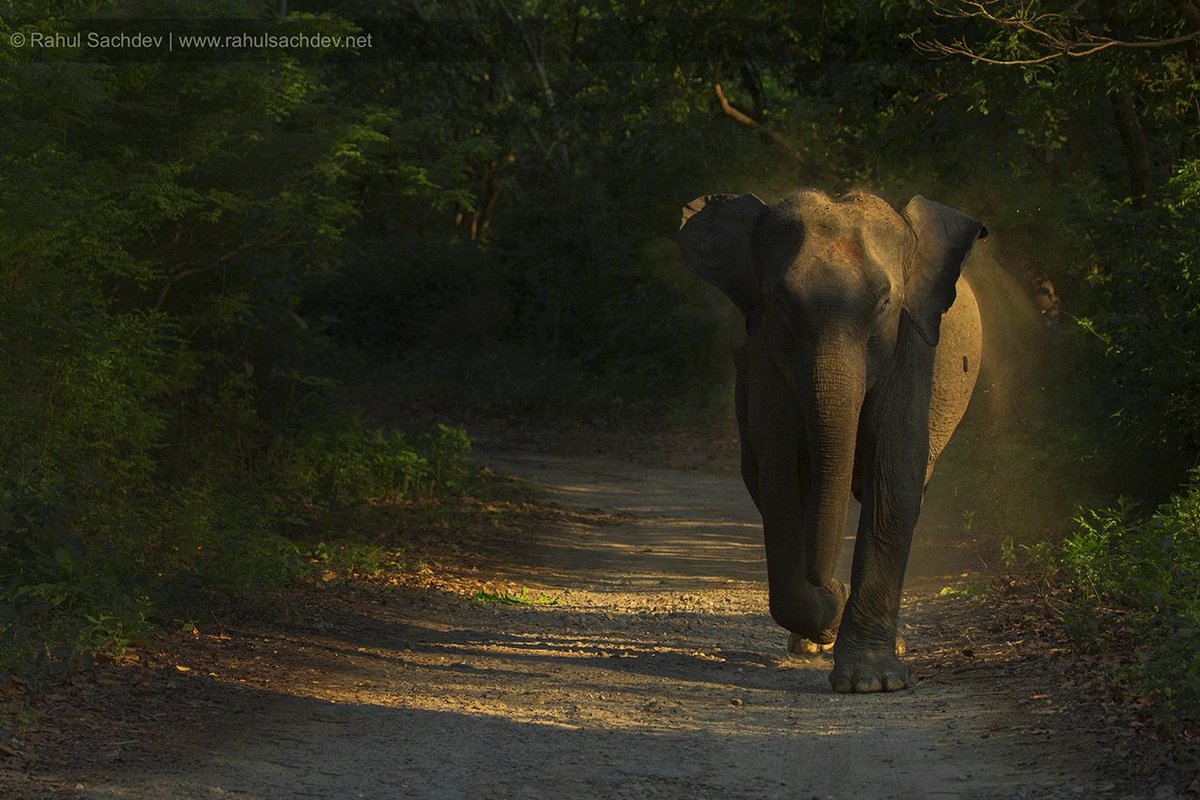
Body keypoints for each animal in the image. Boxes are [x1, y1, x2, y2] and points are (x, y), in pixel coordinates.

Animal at [678, 189, 986, 693]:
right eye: (780, 302)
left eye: (884, 303)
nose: (833, 587)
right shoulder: (765, 355)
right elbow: (780, 475)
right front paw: (829, 614)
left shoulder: (913, 348)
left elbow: (895, 474)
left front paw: (871, 683)